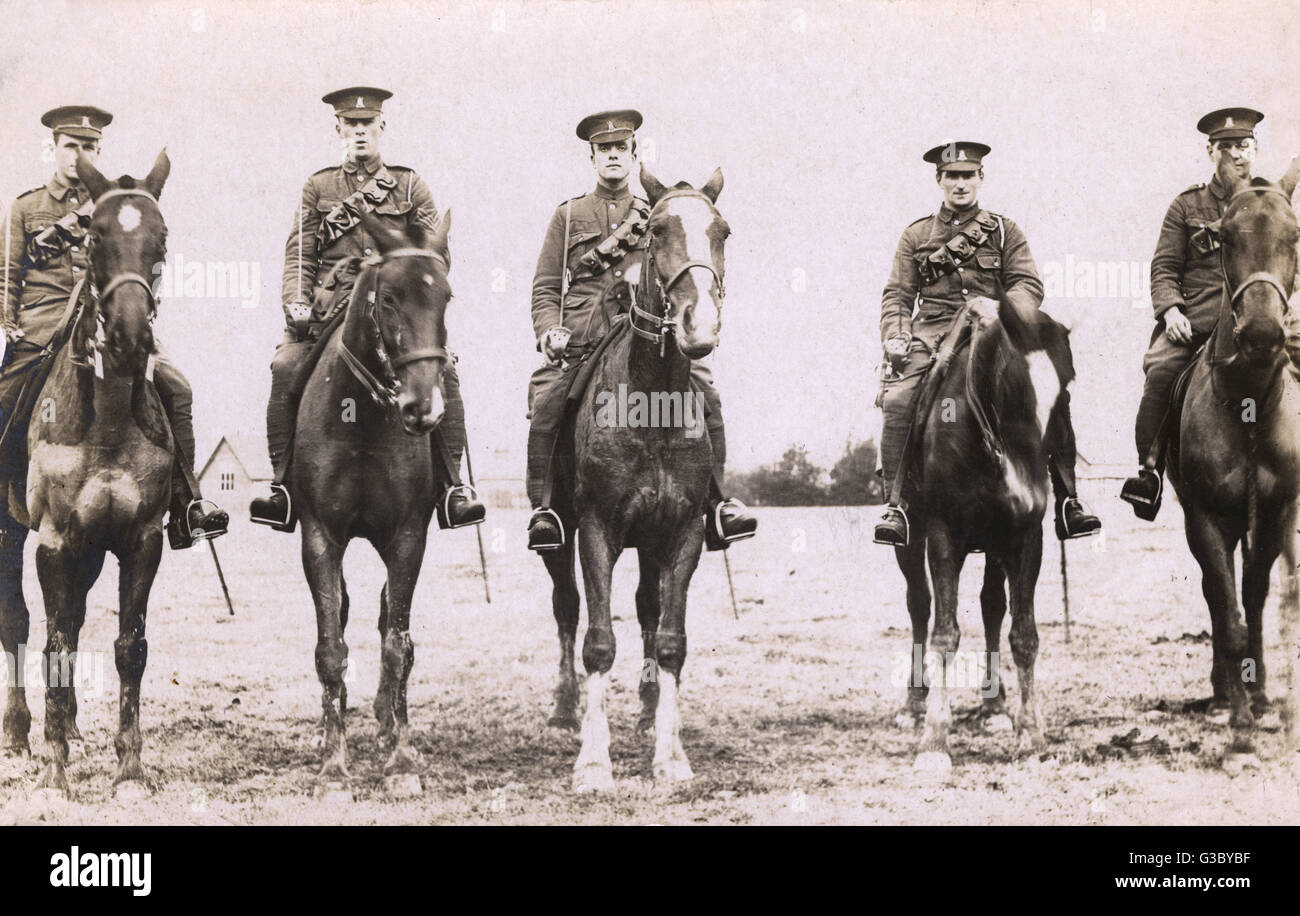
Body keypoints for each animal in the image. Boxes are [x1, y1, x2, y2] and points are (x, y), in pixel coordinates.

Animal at [0, 150, 175, 795]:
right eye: (94, 236)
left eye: (160, 238)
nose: (129, 338)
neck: (107, 422)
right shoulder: (52, 542)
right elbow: (50, 641)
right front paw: (55, 771)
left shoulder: (140, 541)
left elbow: (130, 647)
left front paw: (129, 767)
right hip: (14, 535)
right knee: (21, 622)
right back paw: (23, 733)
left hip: (93, 551)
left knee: (73, 619)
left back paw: (71, 728)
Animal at [292, 205, 454, 795]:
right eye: (388, 299)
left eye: (446, 297)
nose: (424, 408)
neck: (361, 419)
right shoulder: (320, 538)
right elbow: (330, 646)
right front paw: (334, 765)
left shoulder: (407, 539)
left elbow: (397, 645)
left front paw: (401, 760)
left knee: (389, 623)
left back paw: (386, 727)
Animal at [535, 166, 722, 795]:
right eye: (658, 229)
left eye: (722, 231)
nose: (699, 326)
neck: (652, 403)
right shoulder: (597, 530)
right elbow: (597, 641)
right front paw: (594, 763)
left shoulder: (684, 533)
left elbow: (670, 638)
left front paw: (672, 756)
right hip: (561, 538)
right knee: (567, 609)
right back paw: (564, 711)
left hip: (651, 542)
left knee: (645, 608)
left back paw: (645, 710)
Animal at [894, 289, 1076, 774]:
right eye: (1013, 386)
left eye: (1065, 393)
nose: (1030, 491)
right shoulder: (943, 537)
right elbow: (944, 632)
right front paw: (935, 741)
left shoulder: (1025, 538)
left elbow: (1023, 635)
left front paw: (1030, 735)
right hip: (910, 541)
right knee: (919, 605)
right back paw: (913, 703)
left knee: (993, 607)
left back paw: (995, 705)